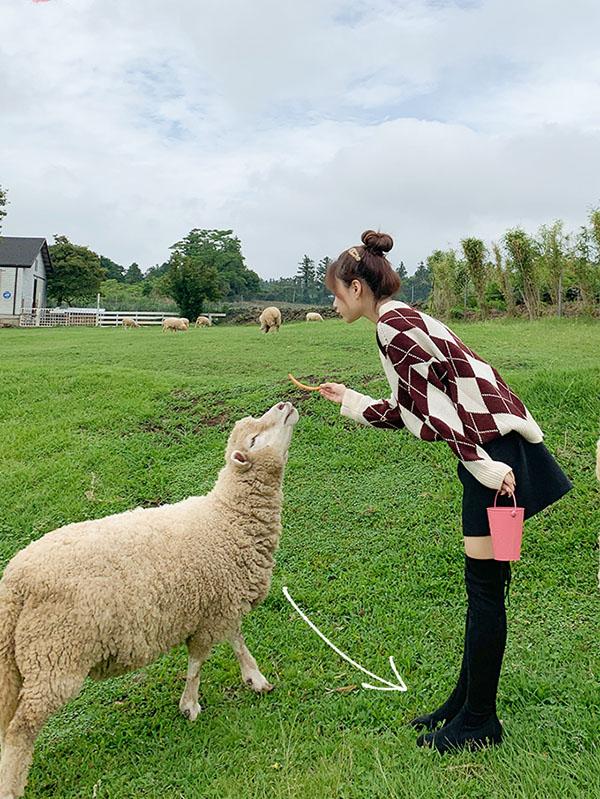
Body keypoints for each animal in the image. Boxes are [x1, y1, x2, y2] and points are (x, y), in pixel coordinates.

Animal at [0, 406, 300, 799]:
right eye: (253, 439)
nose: (284, 406)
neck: (227, 520)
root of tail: (16, 581)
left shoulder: (222, 605)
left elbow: (236, 641)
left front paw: (255, 678)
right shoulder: (209, 614)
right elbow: (197, 662)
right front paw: (190, 706)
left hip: (15, 660)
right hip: (55, 657)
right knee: (21, 729)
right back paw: (12, 787)